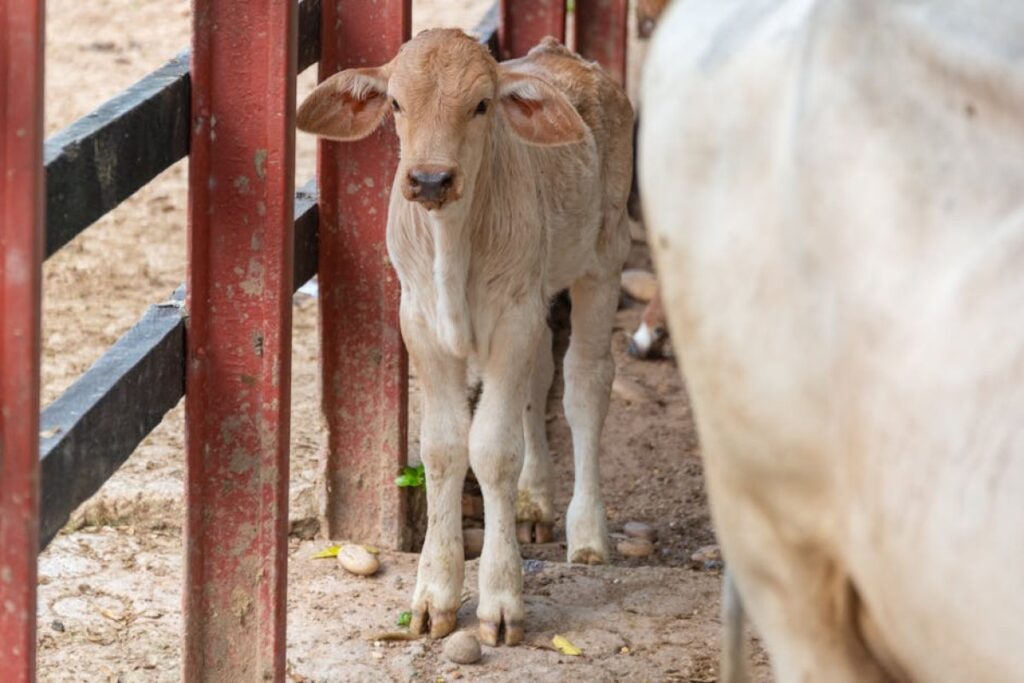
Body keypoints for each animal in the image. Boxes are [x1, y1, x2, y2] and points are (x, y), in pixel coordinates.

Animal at [297, 29, 633, 646]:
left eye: (481, 105)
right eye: (396, 103)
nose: (430, 179)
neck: (452, 247)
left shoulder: (512, 318)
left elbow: (493, 449)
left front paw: (500, 601)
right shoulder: (421, 324)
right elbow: (443, 447)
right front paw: (434, 596)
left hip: (604, 256)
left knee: (585, 384)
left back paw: (588, 534)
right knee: (539, 380)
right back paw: (532, 503)